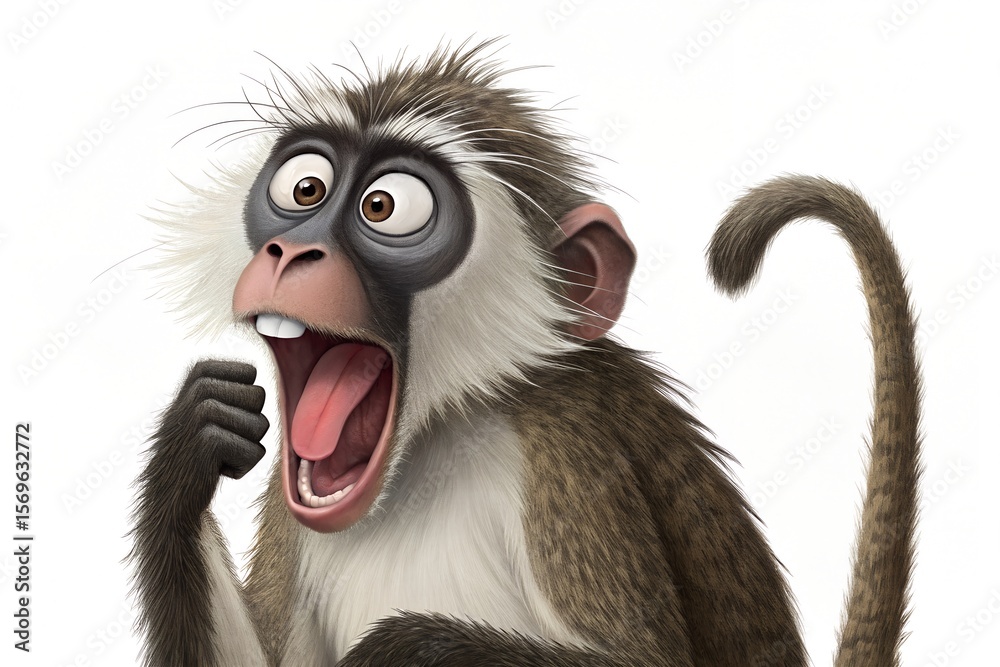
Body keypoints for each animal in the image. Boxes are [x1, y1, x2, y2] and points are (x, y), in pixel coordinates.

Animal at [129, 41, 921, 666]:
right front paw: (194, 440)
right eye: (305, 188)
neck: (430, 442)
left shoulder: (566, 447)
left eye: (384, 207)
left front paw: (405, 648)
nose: (291, 251)